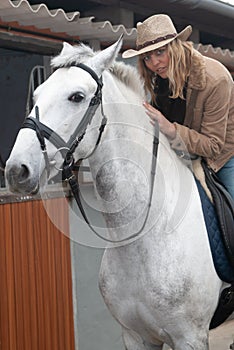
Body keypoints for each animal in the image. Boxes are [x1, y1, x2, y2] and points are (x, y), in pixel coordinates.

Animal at [5, 39, 228, 350]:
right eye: (36, 94)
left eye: (77, 96)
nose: (16, 171)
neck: (144, 236)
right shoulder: (135, 336)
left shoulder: (190, 338)